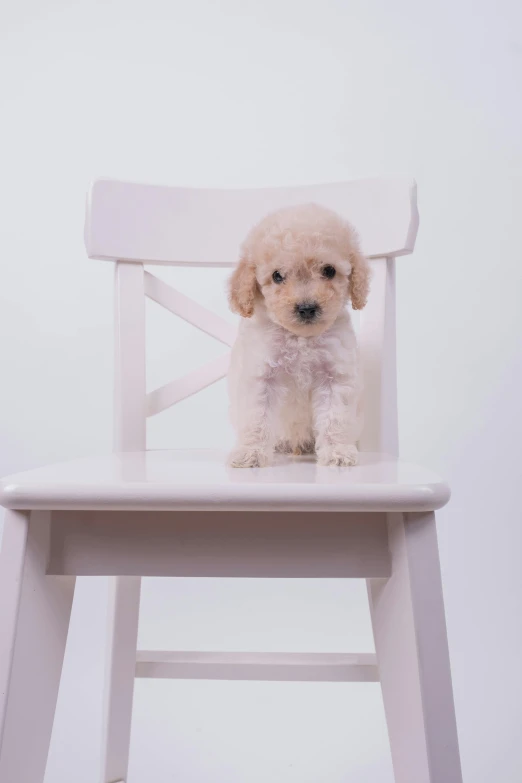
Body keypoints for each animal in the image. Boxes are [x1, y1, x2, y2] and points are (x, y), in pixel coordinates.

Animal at [225, 205, 368, 468]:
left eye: (329, 271)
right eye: (277, 276)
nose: (307, 308)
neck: (301, 339)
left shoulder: (335, 377)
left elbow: (335, 418)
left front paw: (337, 452)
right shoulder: (261, 377)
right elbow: (256, 419)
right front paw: (250, 453)